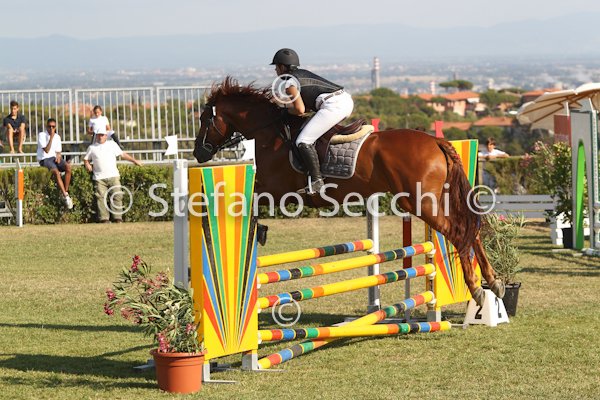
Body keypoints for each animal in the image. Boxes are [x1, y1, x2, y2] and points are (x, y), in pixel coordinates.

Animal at [193, 77, 504, 306]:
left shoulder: (277, 189)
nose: (198, 153)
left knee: (459, 233)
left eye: (204, 120)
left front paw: (258, 231)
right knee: (472, 229)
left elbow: (251, 199)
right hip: (436, 200)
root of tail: (436, 142)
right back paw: (493, 281)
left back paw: (477, 288)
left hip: (421, 204)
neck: (271, 133)